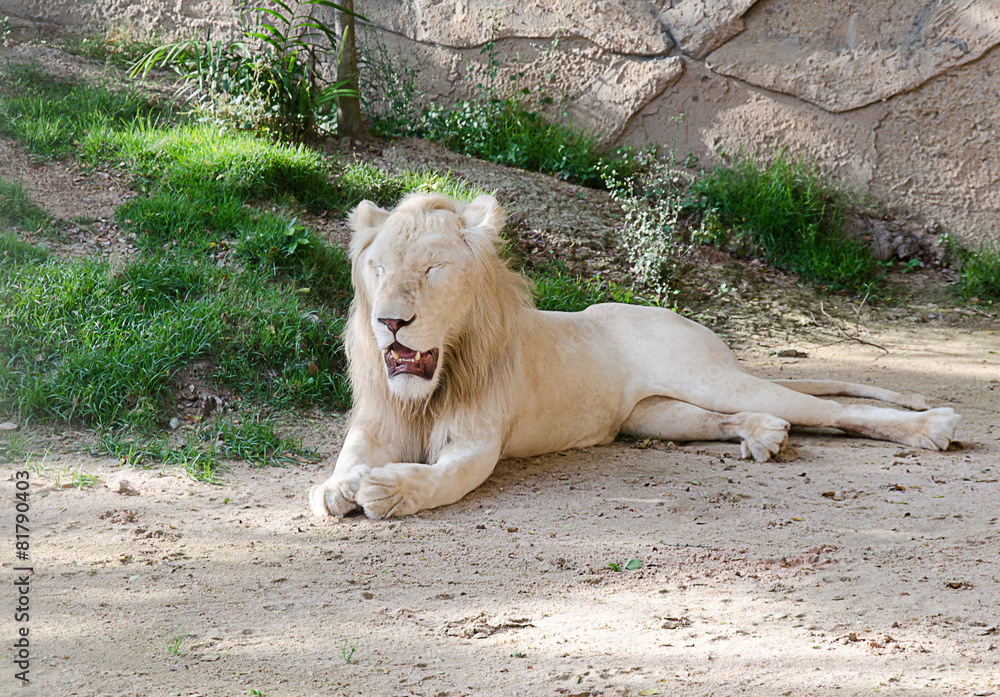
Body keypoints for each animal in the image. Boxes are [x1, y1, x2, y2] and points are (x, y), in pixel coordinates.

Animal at [309, 193, 961, 519]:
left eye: (432, 270)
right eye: (377, 268)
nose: (390, 322)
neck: (434, 385)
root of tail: (681, 318)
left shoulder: (478, 441)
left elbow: (444, 478)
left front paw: (388, 492)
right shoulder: (376, 423)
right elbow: (346, 460)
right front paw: (338, 487)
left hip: (705, 376)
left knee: (830, 411)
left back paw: (932, 427)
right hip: (653, 415)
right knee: (728, 419)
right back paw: (764, 435)